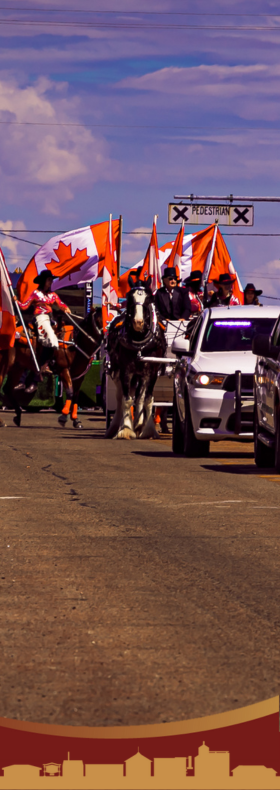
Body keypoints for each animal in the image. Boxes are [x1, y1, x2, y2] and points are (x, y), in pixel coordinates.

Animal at [105, 274, 166, 442]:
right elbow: (126, 400)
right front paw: (125, 429)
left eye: (149, 298)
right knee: (120, 397)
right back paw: (115, 426)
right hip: (116, 371)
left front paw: (148, 429)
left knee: (139, 396)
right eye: (129, 297)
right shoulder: (126, 371)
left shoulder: (152, 371)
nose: (138, 322)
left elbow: (147, 399)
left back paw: (138, 424)